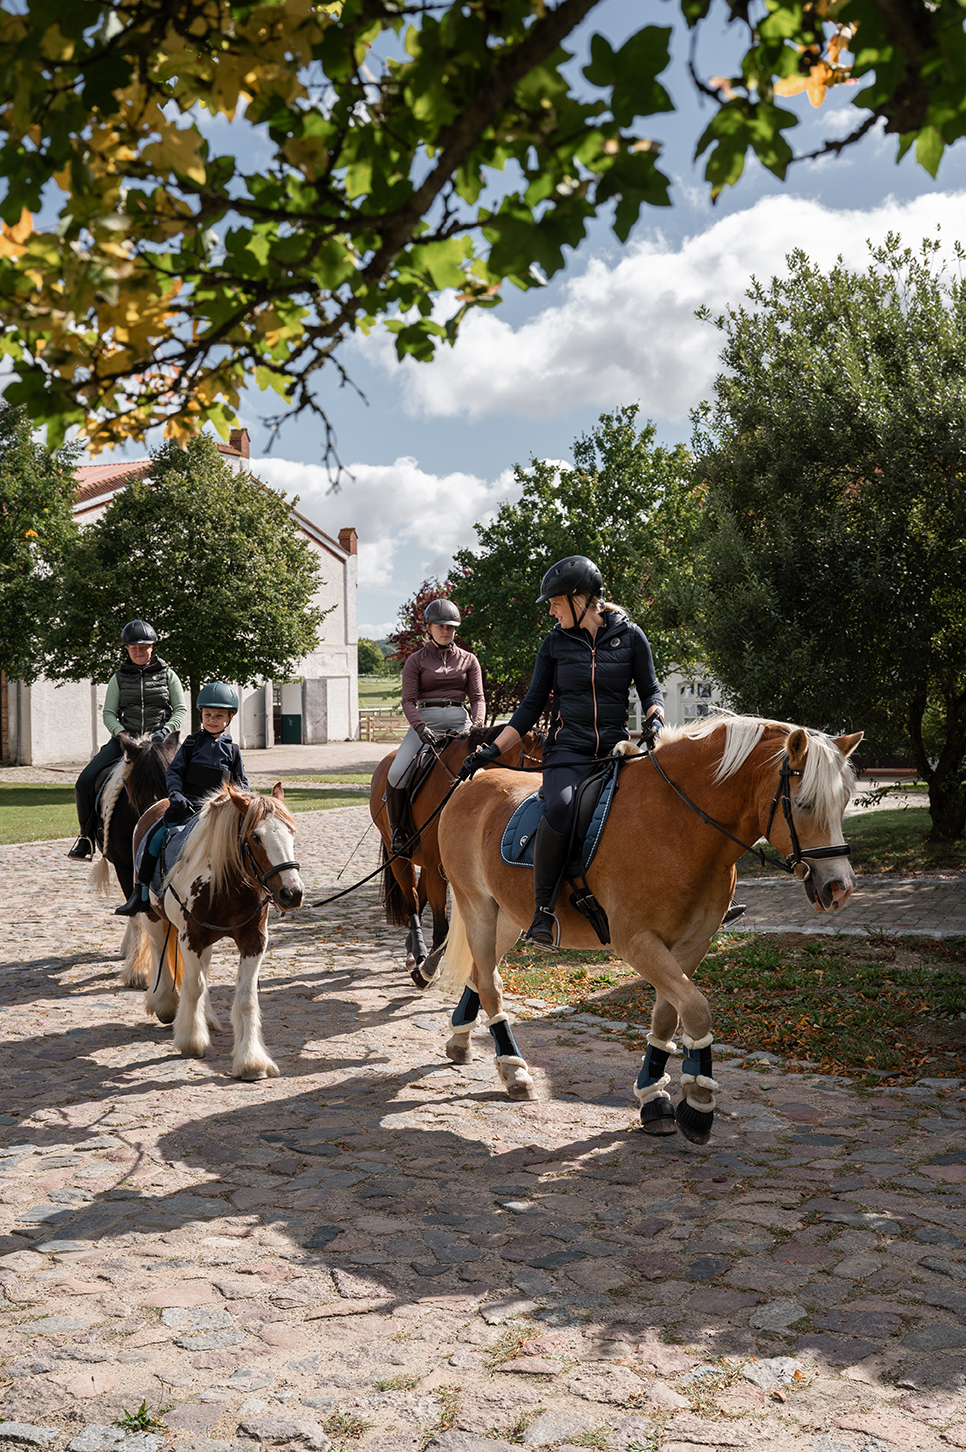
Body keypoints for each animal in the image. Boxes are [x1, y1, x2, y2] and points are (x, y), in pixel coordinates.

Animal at [123, 782, 304, 1080]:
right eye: (255, 837)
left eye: (291, 831)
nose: (292, 893)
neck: (227, 885)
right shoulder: (191, 937)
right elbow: (193, 985)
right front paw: (191, 1041)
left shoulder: (253, 940)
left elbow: (246, 998)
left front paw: (251, 1061)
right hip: (153, 918)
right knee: (160, 949)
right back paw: (164, 1003)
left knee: (203, 968)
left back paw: (205, 1017)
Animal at [369, 726, 544, 974]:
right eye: (539, 766)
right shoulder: (436, 867)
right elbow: (442, 925)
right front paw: (428, 967)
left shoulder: (445, 867)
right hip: (398, 857)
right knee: (412, 899)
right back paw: (417, 952)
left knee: (420, 897)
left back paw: (413, 950)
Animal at [428, 715, 862, 1135]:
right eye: (804, 804)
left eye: (844, 802)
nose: (839, 888)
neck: (680, 825)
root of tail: (471, 783)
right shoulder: (638, 942)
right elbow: (697, 1010)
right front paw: (698, 1103)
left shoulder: (691, 945)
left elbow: (669, 1017)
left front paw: (655, 1097)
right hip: (478, 906)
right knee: (489, 982)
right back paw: (514, 1071)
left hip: (508, 918)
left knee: (480, 974)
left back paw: (461, 1042)